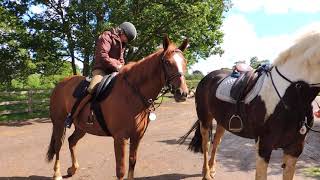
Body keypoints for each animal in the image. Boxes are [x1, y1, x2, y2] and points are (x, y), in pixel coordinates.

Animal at [46, 34, 189, 179]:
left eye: (185, 62)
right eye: (167, 62)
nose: (182, 93)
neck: (132, 93)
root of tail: (61, 84)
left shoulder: (137, 137)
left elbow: (132, 162)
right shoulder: (120, 138)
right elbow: (121, 170)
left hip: (81, 127)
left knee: (72, 141)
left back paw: (73, 168)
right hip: (59, 123)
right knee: (58, 145)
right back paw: (56, 173)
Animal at [179, 30, 320, 179]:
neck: (291, 95)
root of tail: (207, 77)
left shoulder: (294, 149)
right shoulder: (264, 145)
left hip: (222, 121)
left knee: (216, 142)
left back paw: (211, 169)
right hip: (205, 118)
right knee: (205, 143)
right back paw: (206, 174)